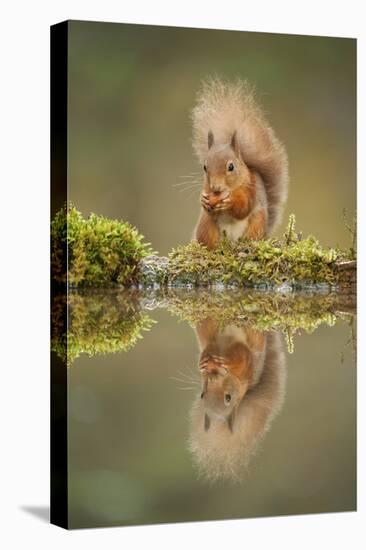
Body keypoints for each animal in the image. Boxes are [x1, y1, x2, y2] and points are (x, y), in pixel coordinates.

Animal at [192, 78, 288, 250]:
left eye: (231, 167)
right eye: (204, 167)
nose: (215, 187)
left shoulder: (251, 189)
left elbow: (243, 208)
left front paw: (230, 201)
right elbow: (208, 207)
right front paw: (203, 199)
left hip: (257, 223)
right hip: (205, 226)